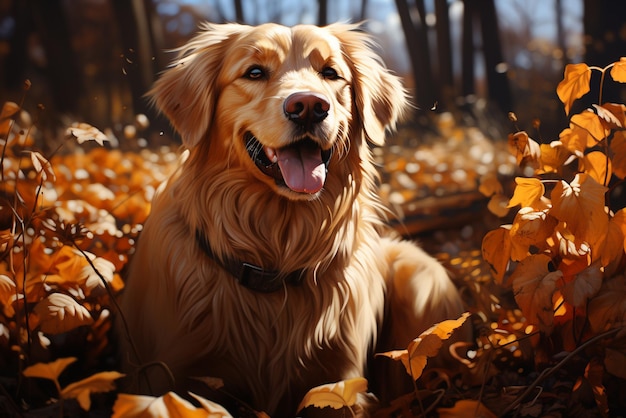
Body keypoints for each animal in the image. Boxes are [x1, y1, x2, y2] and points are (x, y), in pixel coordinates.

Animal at [120, 23, 464, 418]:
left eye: (330, 73)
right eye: (254, 72)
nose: (309, 107)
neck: (275, 250)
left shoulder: (339, 382)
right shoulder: (171, 375)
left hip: (419, 273)